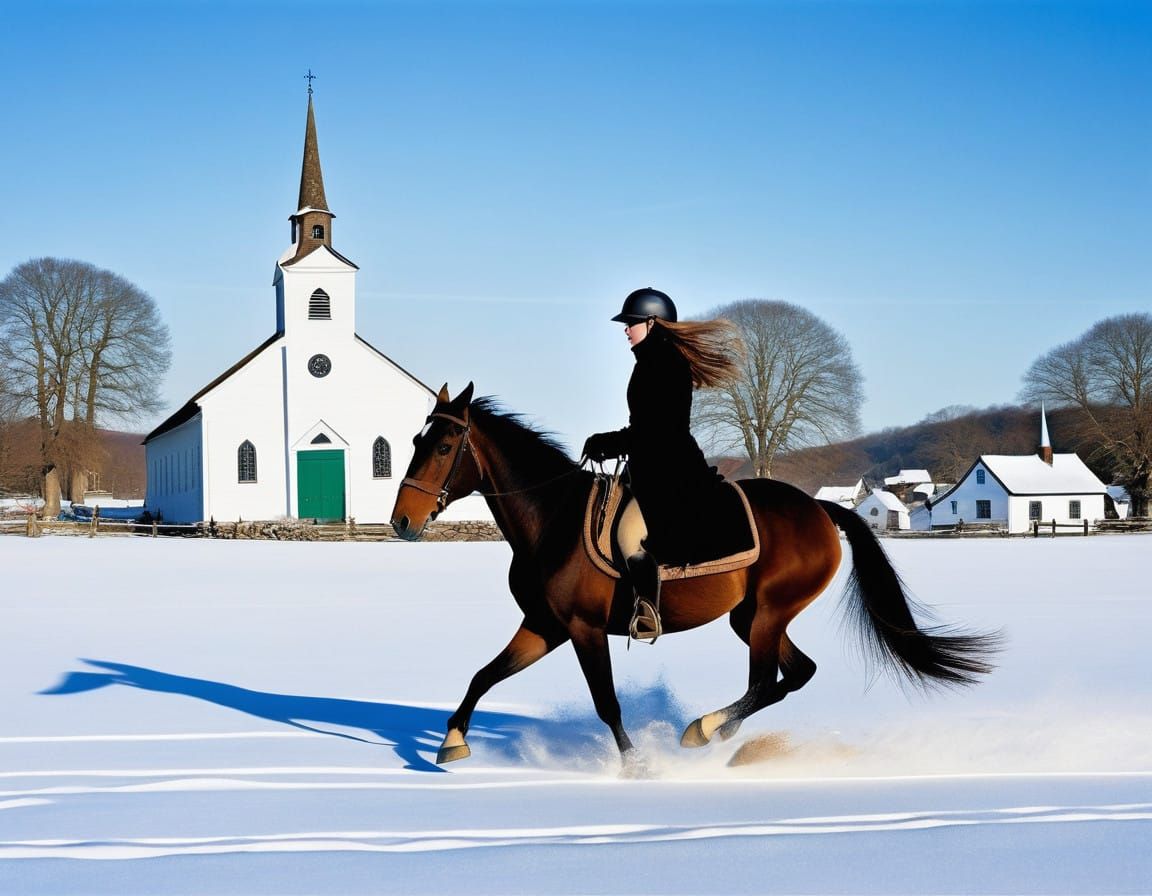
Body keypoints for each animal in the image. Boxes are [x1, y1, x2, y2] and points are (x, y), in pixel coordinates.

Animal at [391, 383, 998, 768]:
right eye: (416, 443)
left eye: (442, 446)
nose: (402, 522)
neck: (552, 518)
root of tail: (819, 510)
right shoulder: (546, 625)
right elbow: (483, 676)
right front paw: (451, 743)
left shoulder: (583, 629)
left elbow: (606, 701)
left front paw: (637, 765)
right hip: (752, 617)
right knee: (796, 673)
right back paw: (720, 732)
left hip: (768, 614)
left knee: (765, 681)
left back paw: (703, 729)